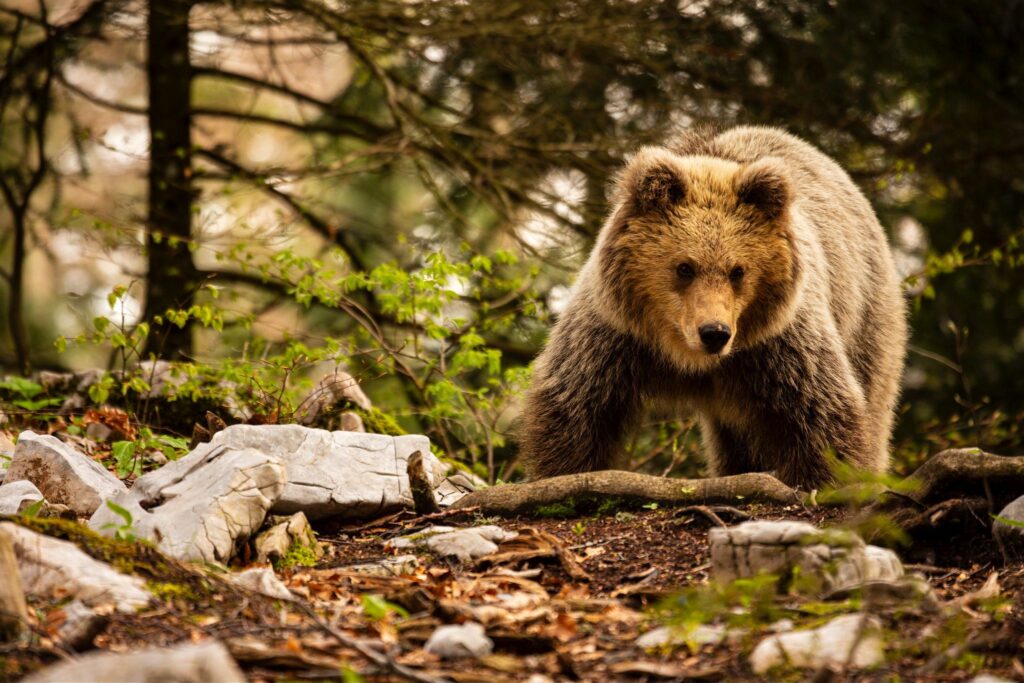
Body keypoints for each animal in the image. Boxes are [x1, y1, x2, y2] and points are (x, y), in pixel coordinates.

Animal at [524, 124, 909, 485]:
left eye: (738, 270)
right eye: (684, 267)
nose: (714, 332)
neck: (690, 360)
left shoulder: (778, 344)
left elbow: (822, 414)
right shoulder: (616, 335)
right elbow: (576, 406)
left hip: (866, 315)